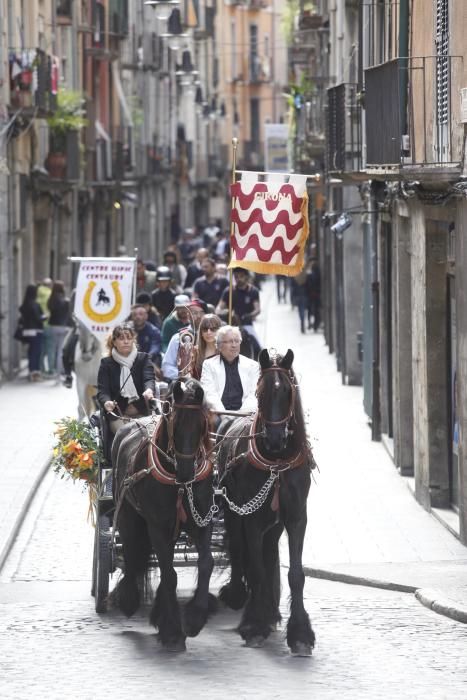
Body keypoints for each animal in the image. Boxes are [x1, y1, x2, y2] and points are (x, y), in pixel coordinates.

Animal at [110, 378, 217, 652]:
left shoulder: (201, 521)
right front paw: (172, 633)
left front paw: (194, 619)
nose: (186, 473)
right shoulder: (156, 527)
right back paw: (128, 599)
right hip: (128, 517)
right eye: (174, 423)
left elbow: (206, 563)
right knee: (132, 553)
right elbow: (169, 574)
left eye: (202, 424)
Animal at [218, 348, 316, 656]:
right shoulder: (251, 518)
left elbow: (296, 574)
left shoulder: (296, 518)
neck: (277, 463)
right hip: (233, 513)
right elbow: (257, 570)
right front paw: (254, 626)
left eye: (286, 391)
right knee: (239, 551)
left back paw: (271, 612)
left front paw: (300, 634)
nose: (274, 439)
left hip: (273, 523)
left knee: (269, 550)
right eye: (260, 392)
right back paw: (239, 596)